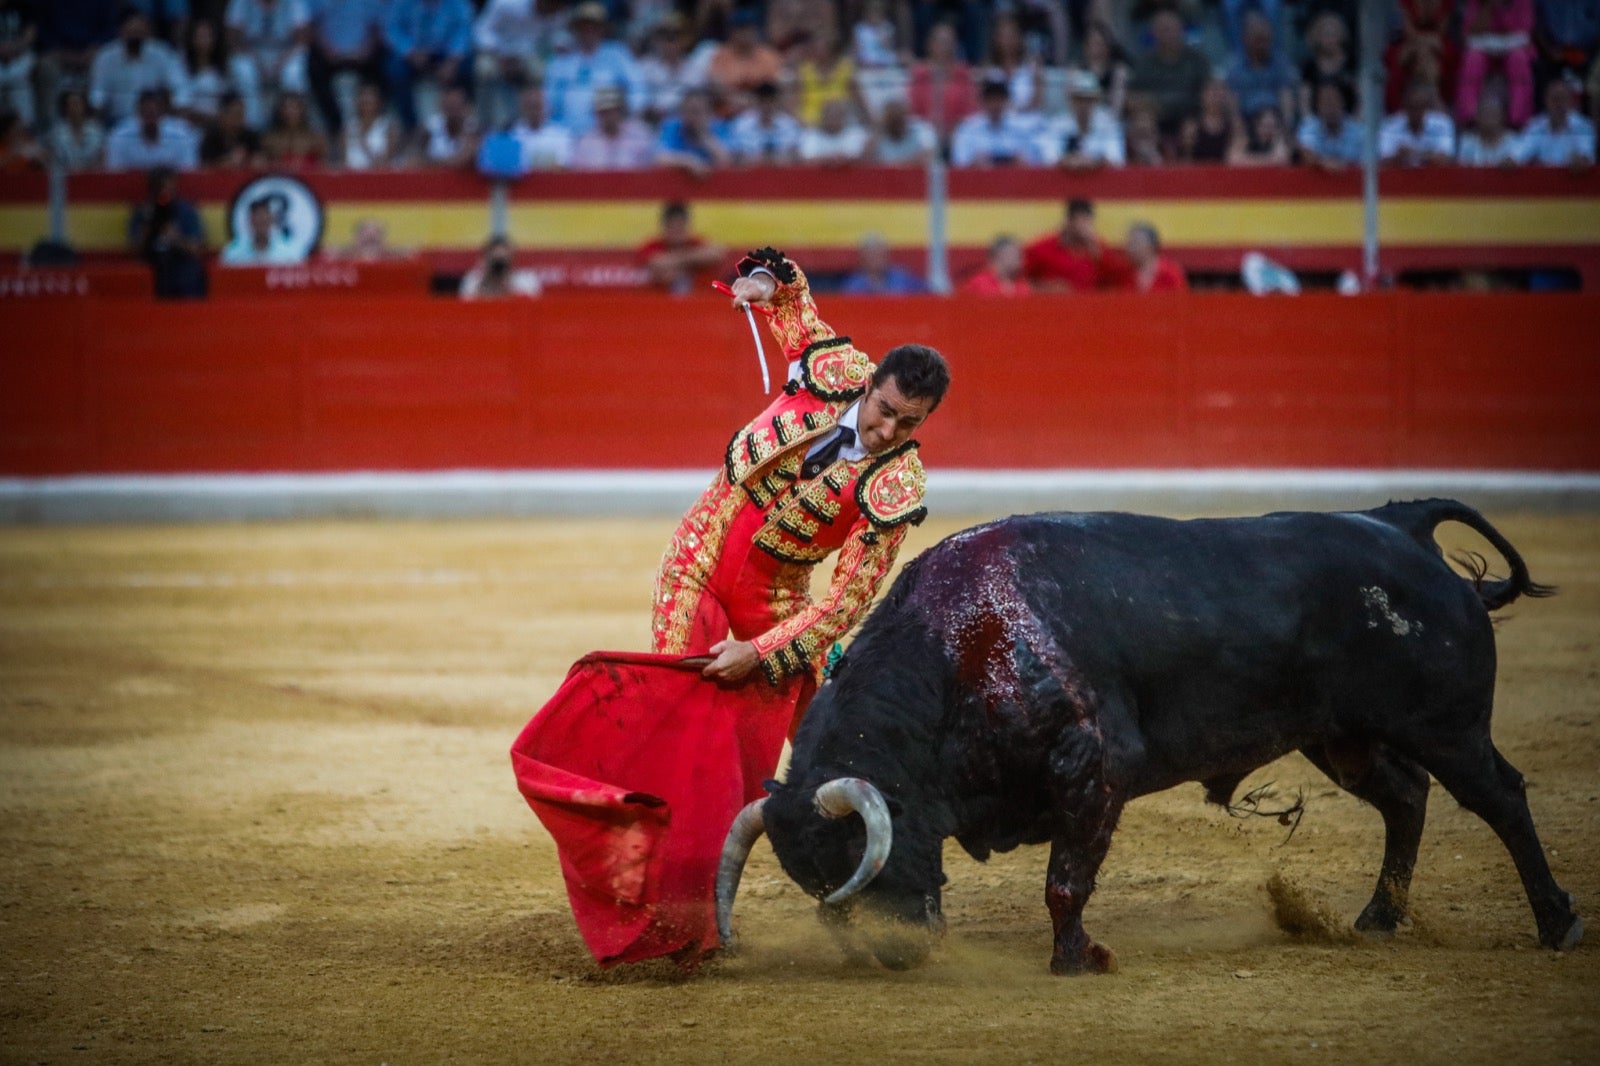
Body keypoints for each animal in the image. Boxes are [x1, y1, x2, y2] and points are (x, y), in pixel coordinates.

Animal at [720, 499, 1580, 973]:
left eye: (855, 855)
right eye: (809, 877)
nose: (900, 954)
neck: (956, 651)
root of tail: (1404, 527)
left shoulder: (1095, 767)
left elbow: (1065, 883)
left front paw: (1080, 959)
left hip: (1446, 726)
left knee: (1501, 798)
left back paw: (1558, 924)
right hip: (1345, 737)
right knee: (1405, 797)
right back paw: (1377, 919)